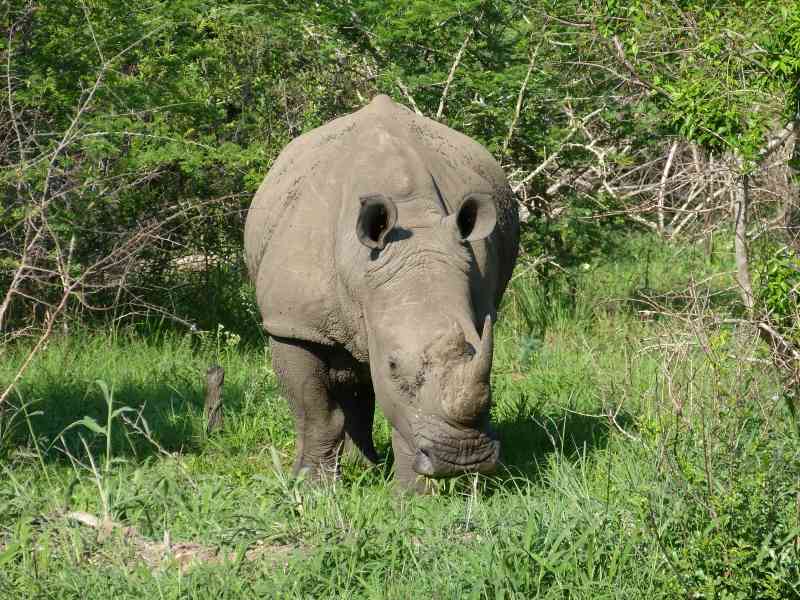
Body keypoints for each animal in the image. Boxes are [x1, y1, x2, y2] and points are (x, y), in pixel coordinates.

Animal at [244, 95, 519, 490]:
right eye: (393, 365)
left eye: (478, 349)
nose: (464, 458)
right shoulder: (293, 323)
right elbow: (316, 411)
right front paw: (312, 489)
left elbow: (404, 417)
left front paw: (410, 497)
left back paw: (365, 467)